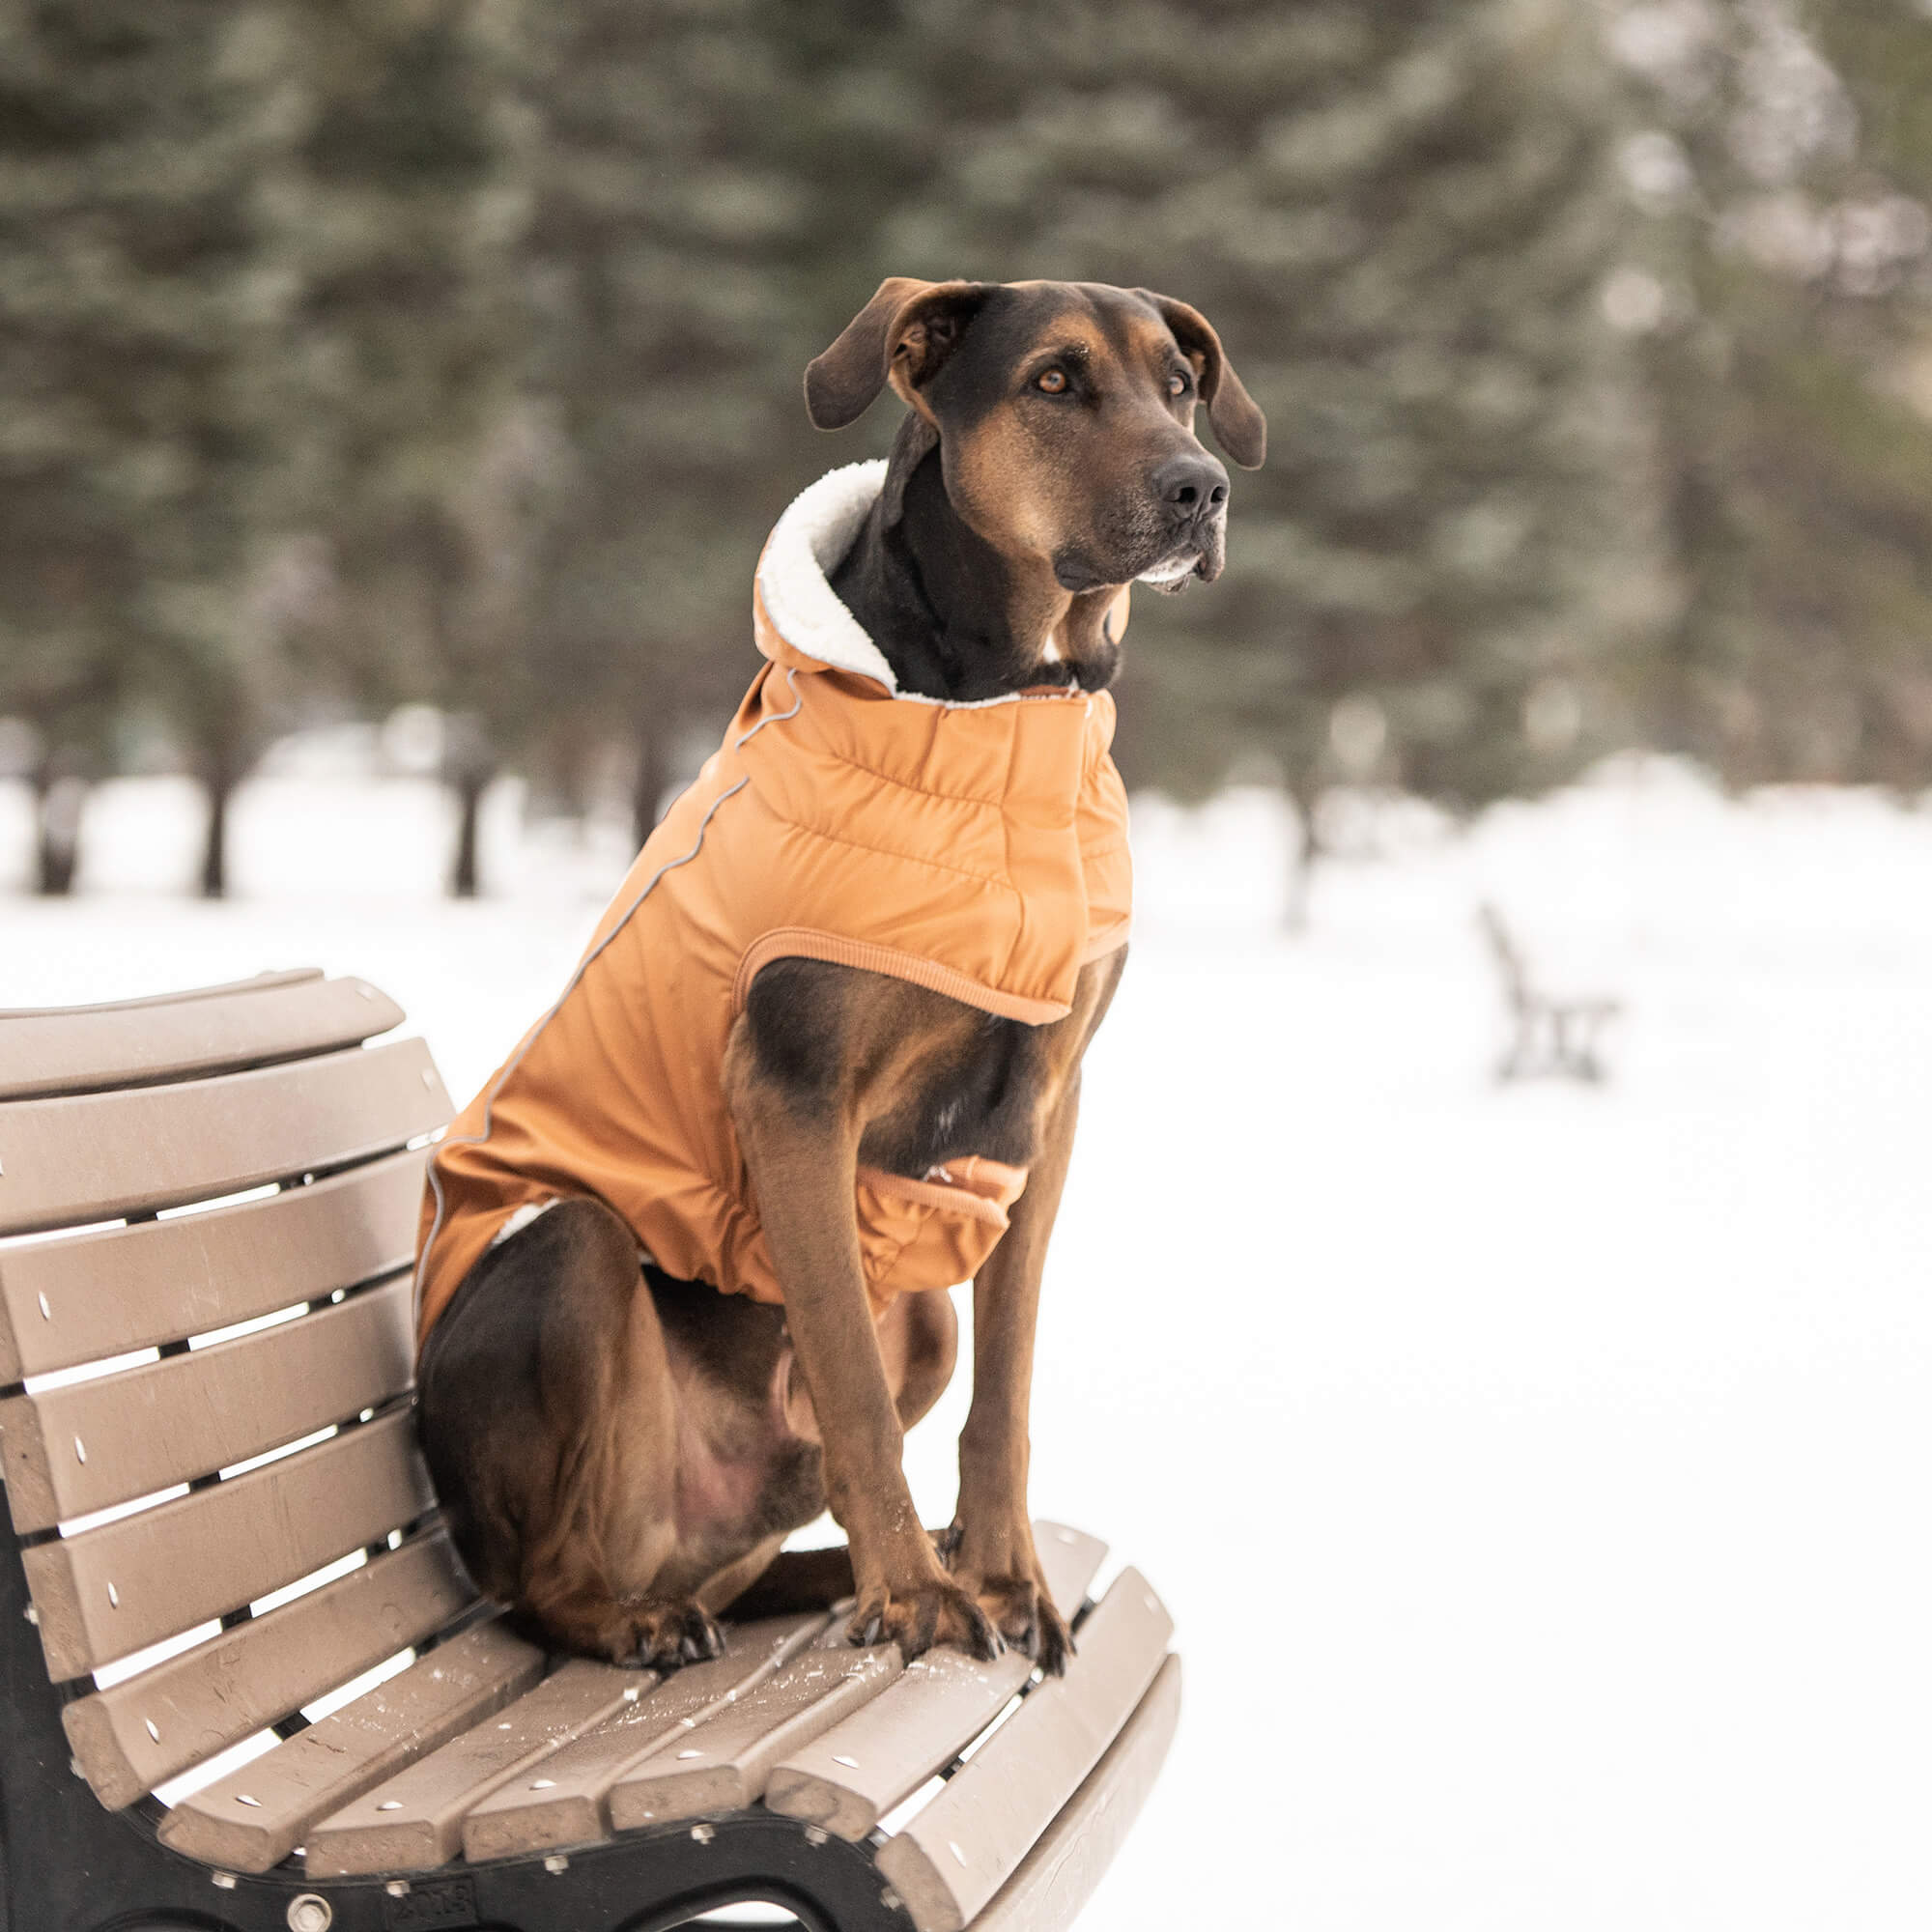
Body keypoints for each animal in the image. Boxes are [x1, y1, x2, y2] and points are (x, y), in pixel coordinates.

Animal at [419, 282, 1267, 1677]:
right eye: (1052, 381)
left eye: (1179, 384)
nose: (1201, 488)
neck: (1009, 733)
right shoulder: (796, 1093)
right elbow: (855, 1393)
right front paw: (918, 1596)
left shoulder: (1044, 1108)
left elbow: (1004, 1385)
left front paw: (1000, 1573)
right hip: (572, 1263)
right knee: (543, 1580)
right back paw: (643, 1613)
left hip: (911, 1319)